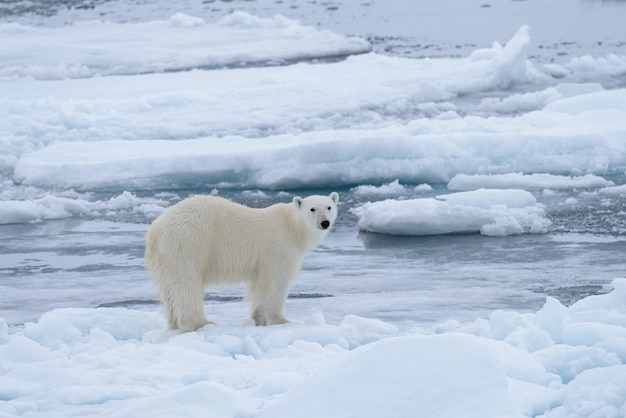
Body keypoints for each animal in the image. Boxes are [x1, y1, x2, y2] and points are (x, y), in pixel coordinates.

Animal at [143, 191, 336, 332]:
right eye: (312, 209)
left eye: (329, 207)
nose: (325, 222)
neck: (291, 227)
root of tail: (155, 230)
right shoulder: (278, 248)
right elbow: (276, 282)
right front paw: (282, 321)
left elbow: (259, 285)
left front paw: (259, 318)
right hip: (188, 244)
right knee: (186, 284)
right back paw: (202, 323)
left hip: (165, 259)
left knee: (169, 290)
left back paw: (174, 324)